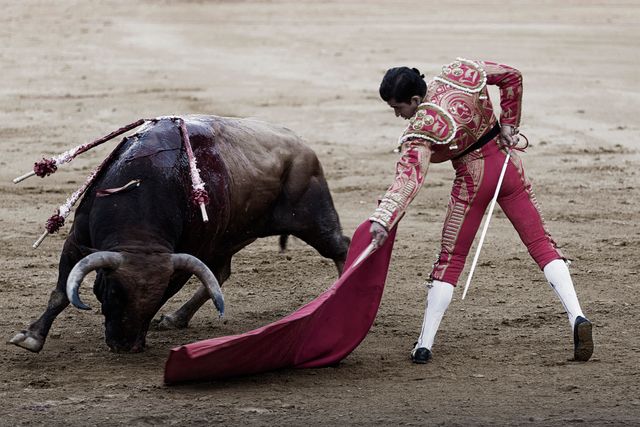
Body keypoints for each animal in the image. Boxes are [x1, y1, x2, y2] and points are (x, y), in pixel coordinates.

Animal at [8, 115, 350, 352]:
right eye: (113, 292)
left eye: (158, 297)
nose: (124, 346)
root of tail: (302, 146)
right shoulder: (77, 243)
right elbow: (60, 293)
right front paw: (30, 337)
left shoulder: (186, 255)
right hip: (229, 236)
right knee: (220, 273)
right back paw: (177, 318)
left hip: (312, 218)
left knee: (340, 247)